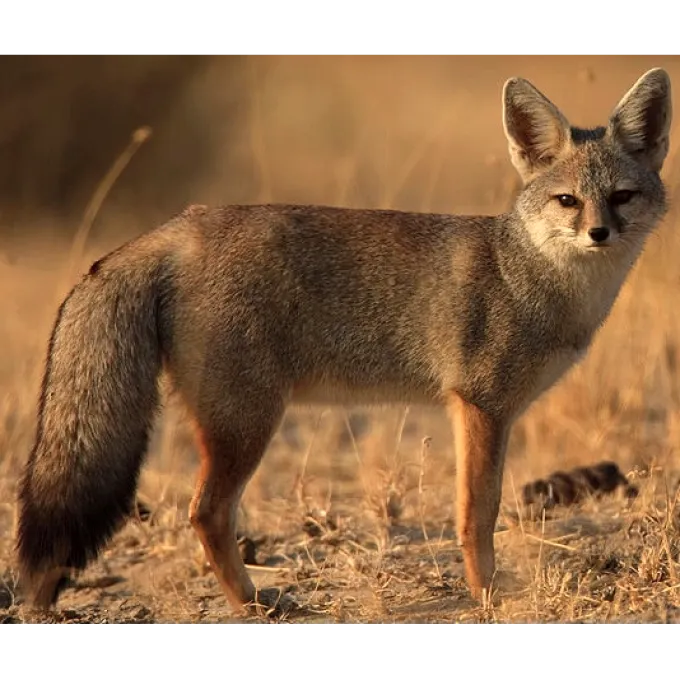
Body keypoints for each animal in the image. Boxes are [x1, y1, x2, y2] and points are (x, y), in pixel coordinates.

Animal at [16, 67, 672, 615]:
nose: (599, 232)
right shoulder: (481, 406)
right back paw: (252, 604)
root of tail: (178, 226)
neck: (526, 276)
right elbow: (476, 516)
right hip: (248, 425)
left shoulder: (487, 413)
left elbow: (477, 512)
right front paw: (486, 595)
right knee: (204, 514)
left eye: (621, 197)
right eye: (568, 200)